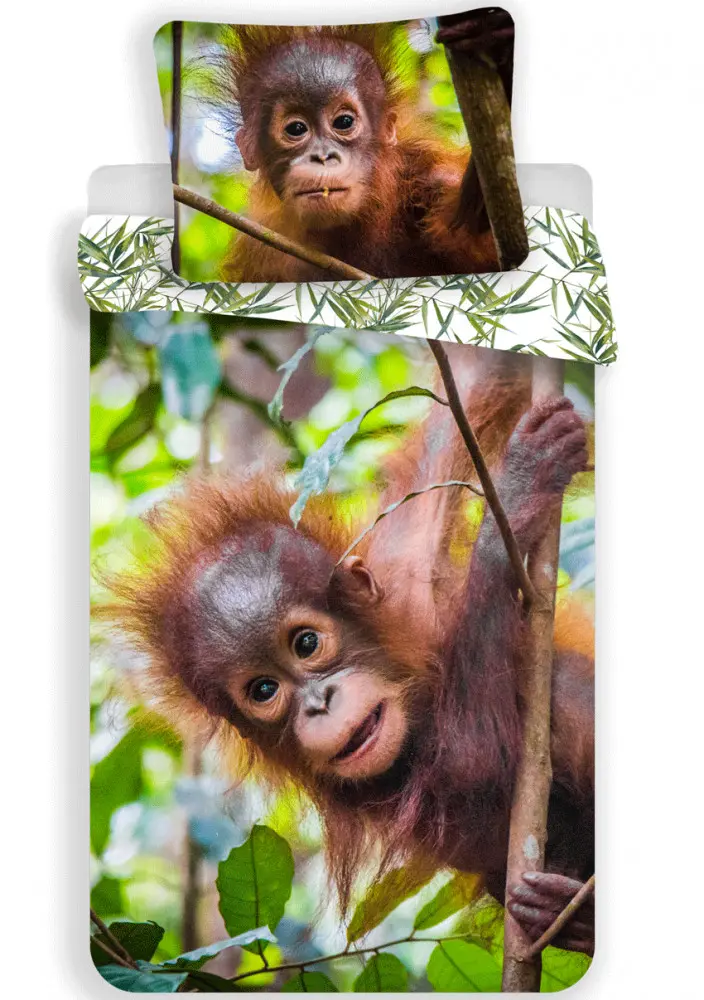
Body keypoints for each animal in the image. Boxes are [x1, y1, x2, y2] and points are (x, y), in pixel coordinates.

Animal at [103, 343, 594, 955]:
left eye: (307, 642)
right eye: (263, 690)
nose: (319, 704)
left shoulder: (407, 566)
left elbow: (473, 389)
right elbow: (474, 764)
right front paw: (514, 497)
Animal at [215, 12, 519, 282]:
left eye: (344, 121)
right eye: (296, 129)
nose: (323, 157)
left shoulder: (431, 176)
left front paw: (499, 46)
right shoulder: (261, 252)